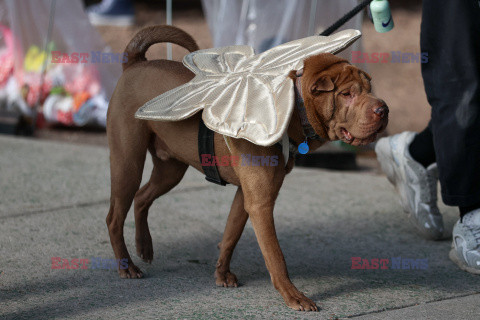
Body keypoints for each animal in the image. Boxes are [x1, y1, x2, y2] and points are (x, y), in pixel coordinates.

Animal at [107, 26, 388, 312]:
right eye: (347, 94)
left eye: (369, 89)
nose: (383, 109)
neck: (294, 108)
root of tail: (136, 63)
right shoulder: (261, 203)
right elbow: (275, 255)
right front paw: (293, 296)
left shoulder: (247, 196)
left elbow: (231, 234)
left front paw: (221, 274)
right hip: (128, 163)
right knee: (114, 217)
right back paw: (126, 265)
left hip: (170, 170)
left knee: (142, 197)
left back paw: (144, 247)